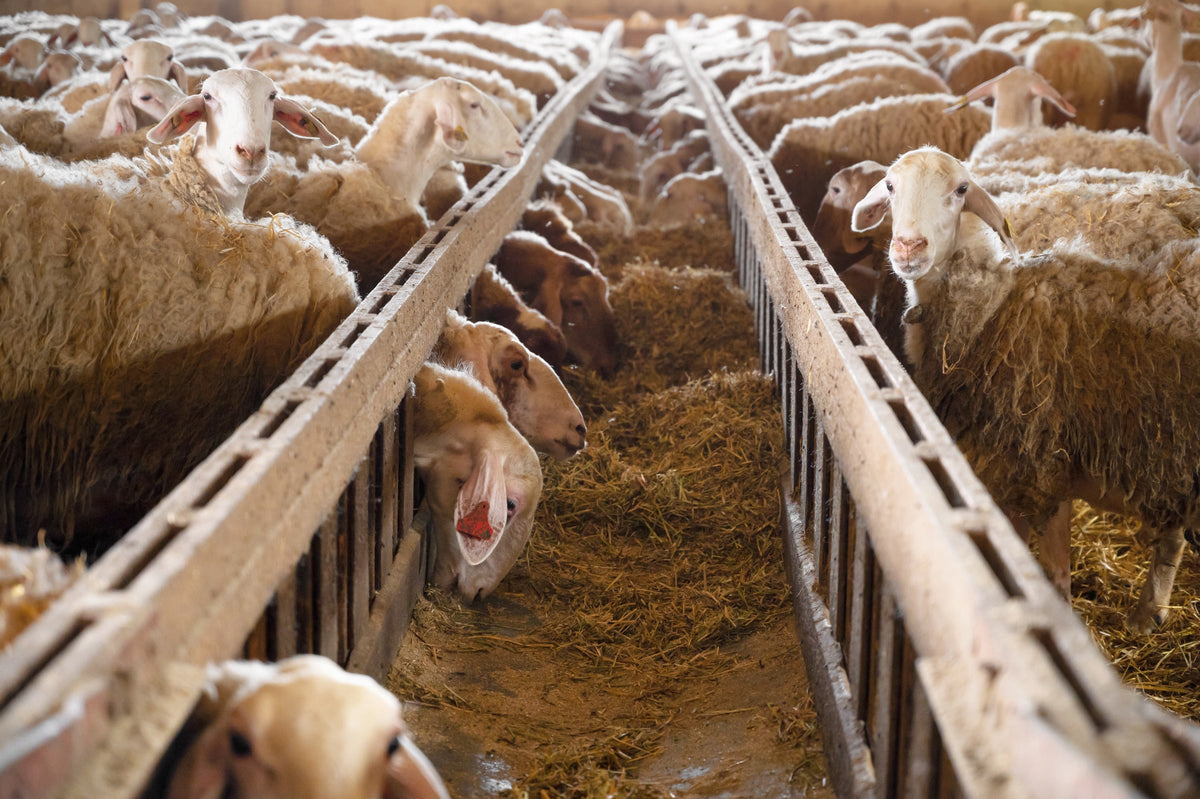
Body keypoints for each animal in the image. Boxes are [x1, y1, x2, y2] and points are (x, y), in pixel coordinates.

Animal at [850, 146, 1199, 633]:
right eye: (889, 185)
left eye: (961, 190)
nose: (908, 248)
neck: (992, 308)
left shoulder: (1032, 469)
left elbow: (1049, 573)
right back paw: (1149, 614)